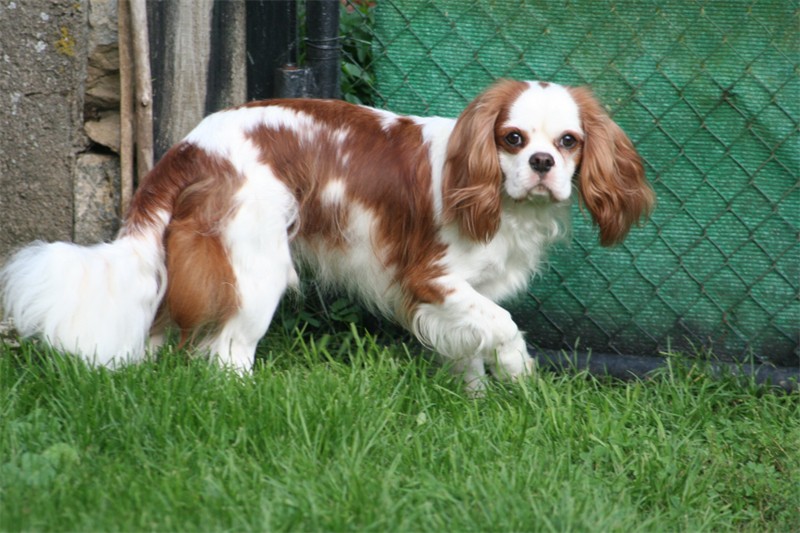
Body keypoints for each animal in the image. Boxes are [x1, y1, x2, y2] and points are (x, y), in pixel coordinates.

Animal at [1, 79, 656, 388]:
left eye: (568, 141)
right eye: (513, 139)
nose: (543, 163)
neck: (500, 197)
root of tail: (189, 147)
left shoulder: (464, 294)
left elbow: (471, 343)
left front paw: (479, 402)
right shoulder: (431, 278)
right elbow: (502, 325)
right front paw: (520, 374)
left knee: (165, 329)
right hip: (256, 268)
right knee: (226, 354)